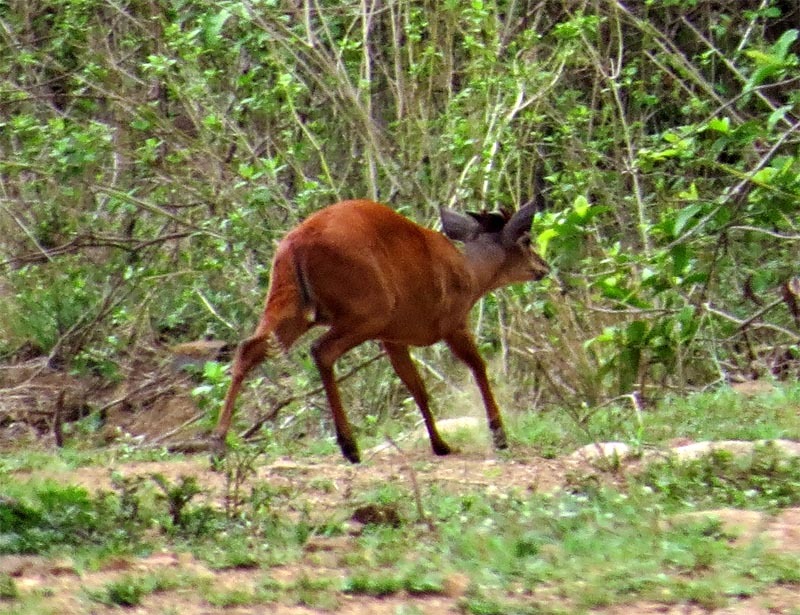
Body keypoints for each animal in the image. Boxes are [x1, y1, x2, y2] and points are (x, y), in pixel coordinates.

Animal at [212, 200, 552, 464]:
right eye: (526, 239)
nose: (544, 267)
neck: (471, 275)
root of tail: (295, 242)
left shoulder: (394, 337)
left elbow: (416, 386)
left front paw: (440, 444)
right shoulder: (453, 322)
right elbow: (478, 368)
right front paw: (499, 435)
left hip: (288, 300)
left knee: (249, 347)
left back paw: (218, 444)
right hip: (368, 308)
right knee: (321, 350)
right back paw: (349, 447)